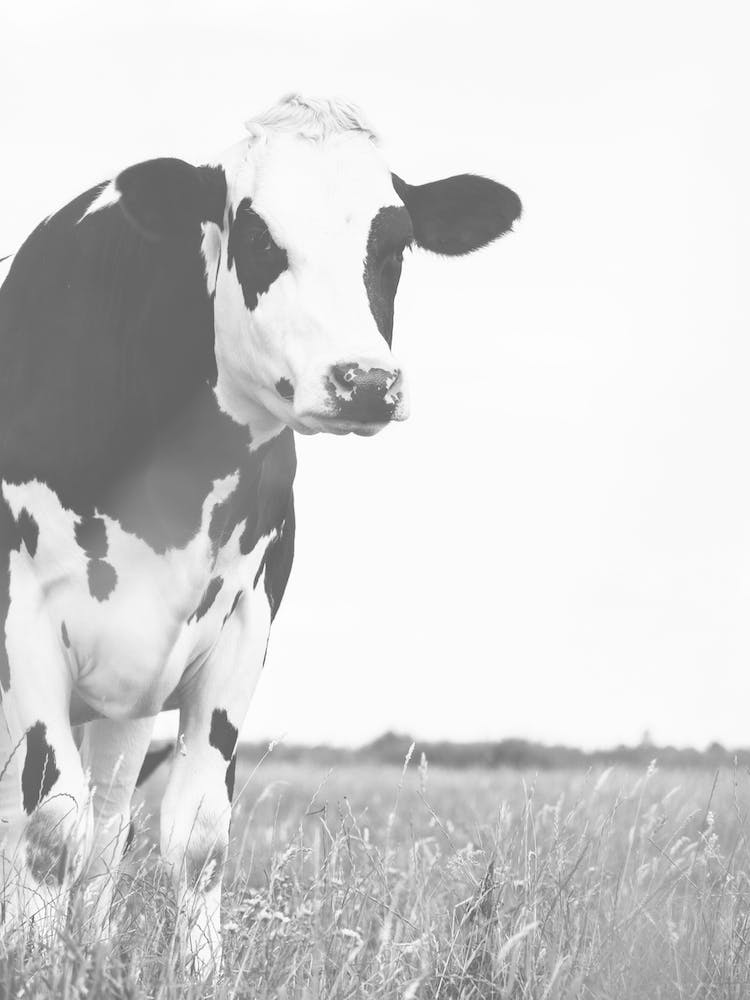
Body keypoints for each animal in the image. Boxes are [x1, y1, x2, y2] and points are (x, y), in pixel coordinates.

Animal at [0, 94, 521, 971]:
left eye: (395, 245)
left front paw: (190, 972)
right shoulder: (24, 620)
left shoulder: (241, 625)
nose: (366, 381)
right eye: (257, 239)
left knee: (111, 822)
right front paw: (33, 969)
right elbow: (49, 827)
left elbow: (193, 834)